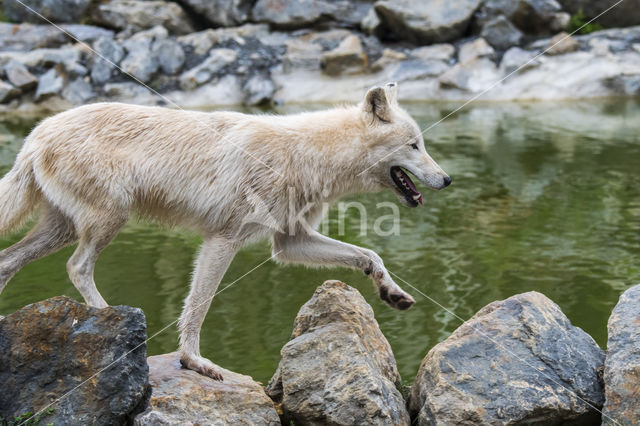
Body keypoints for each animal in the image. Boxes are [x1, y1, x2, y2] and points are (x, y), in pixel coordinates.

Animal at [0, 83, 450, 380]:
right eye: (414, 145)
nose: (447, 180)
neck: (308, 155)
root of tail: (35, 133)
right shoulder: (223, 240)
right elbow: (198, 307)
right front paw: (194, 361)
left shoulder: (290, 243)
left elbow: (369, 255)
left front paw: (391, 292)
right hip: (108, 220)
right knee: (77, 267)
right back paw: (110, 318)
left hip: (64, 228)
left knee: (9, 261)